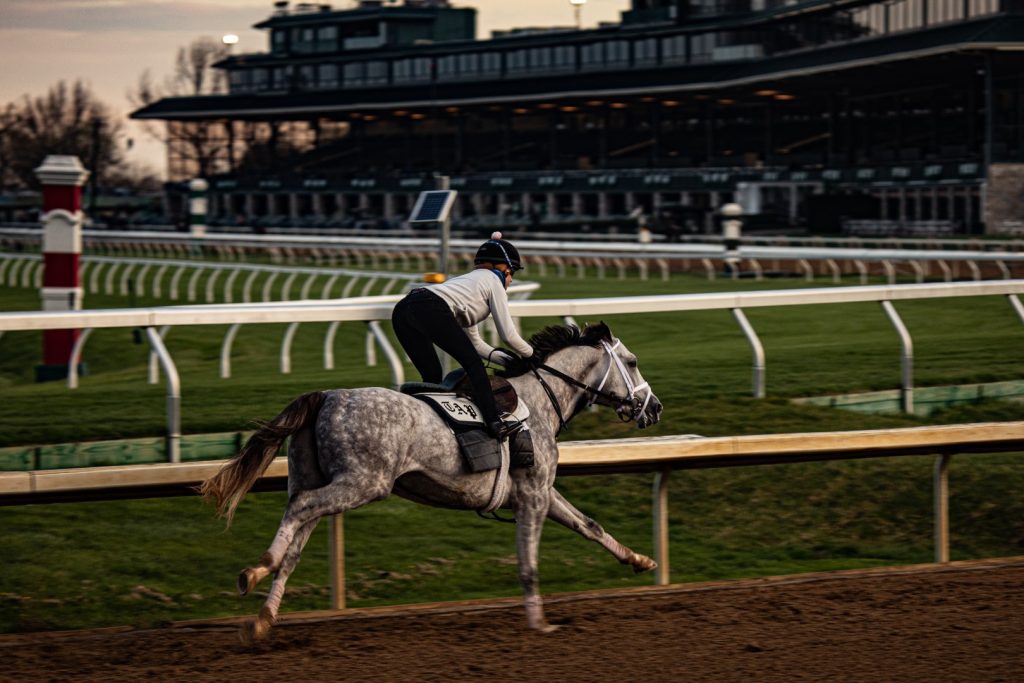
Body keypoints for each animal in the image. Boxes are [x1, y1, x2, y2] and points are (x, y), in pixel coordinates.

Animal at [201, 323, 663, 643]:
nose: (654, 406)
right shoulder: (532, 495)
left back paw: (263, 618)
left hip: (315, 478)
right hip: (364, 483)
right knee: (299, 512)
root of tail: (327, 397)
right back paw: (256, 569)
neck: (538, 403)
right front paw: (540, 624)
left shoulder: (539, 493)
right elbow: (528, 564)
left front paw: (640, 560)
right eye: (633, 361)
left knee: (295, 544)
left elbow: (590, 526)